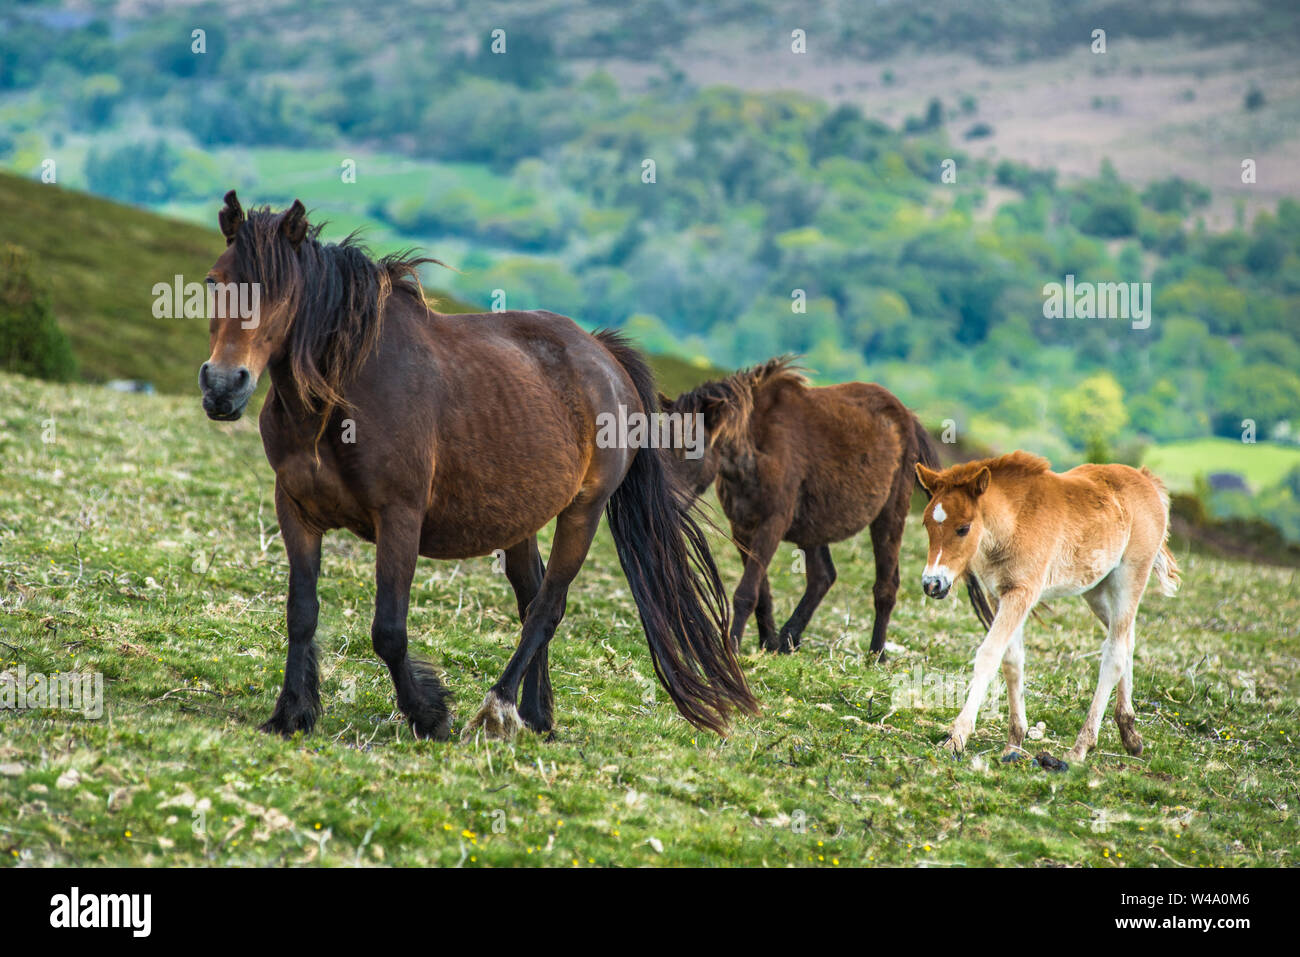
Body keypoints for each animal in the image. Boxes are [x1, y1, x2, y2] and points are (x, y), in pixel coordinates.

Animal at [198, 191, 757, 741]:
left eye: (283, 293)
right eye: (214, 281)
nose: (223, 386)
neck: (338, 399)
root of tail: (604, 355)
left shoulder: (399, 518)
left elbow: (388, 631)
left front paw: (428, 715)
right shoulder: (295, 510)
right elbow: (301, 614)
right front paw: (291, 713)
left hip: (584, 510)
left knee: (547, 608)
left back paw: (497, 708)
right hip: (521, 519)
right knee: (531, 598)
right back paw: (537, 714)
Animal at [660, 359, 993, 657]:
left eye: (690, 447)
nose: (669, 504)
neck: (754, 448)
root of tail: (908, 418)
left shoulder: (771, 523)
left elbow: (746, 591)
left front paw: (734, 646)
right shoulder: (742, 527)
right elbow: (762, 592)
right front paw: (765, 642)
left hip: (889, 517)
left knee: (885, 586)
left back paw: (876, 654)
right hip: (814, 526)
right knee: (823, 576)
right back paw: (788, 640)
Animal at [915, 452, 1180, 765]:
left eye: (963, 528)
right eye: (926, 524)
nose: (932, 584)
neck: (1015, 522)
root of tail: (1146, 480)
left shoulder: (1022, 592)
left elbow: (989, 655)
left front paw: (956, 738)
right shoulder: (999, 594)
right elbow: (1012, 661)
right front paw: (1014, 743)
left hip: (1130, 577)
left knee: (1115, 652)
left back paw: (1081, 747)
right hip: (1095, 588)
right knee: (1126, 640)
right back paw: (1130, 734)